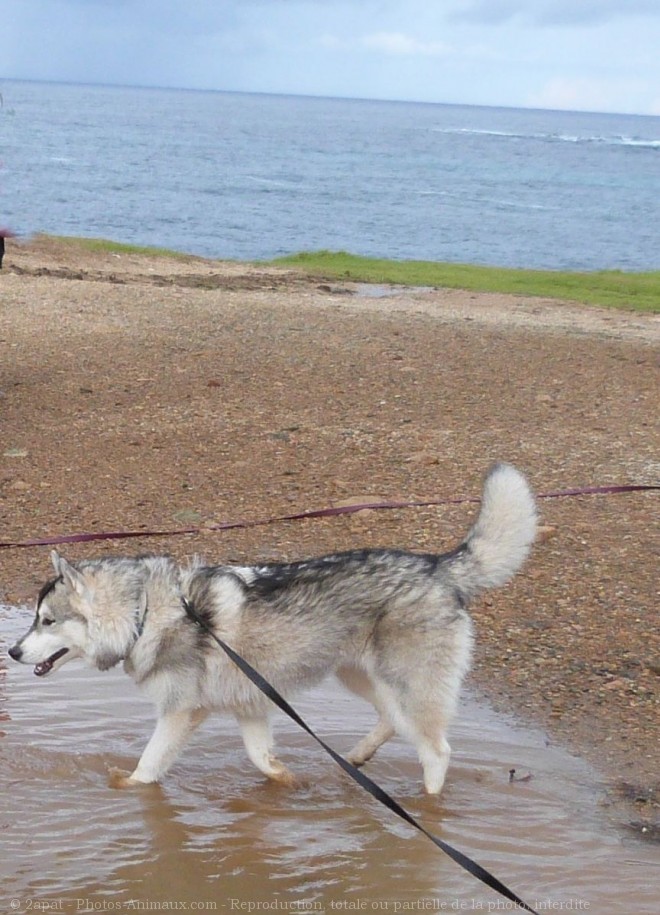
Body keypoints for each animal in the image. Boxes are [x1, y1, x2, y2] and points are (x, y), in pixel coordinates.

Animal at [7, 466, 532, 796]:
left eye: (47, 621)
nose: (11, 651)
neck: (145, 612)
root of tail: (436, 566)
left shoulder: (180, 713)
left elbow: (147, 767)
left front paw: (123, 786)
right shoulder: (252, 706)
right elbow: (262, 759)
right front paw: (289, 783)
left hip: (404, 686)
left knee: (437, 752)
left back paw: (427, 806)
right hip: (361, 677)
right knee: (389, 721)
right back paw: (356, 760)